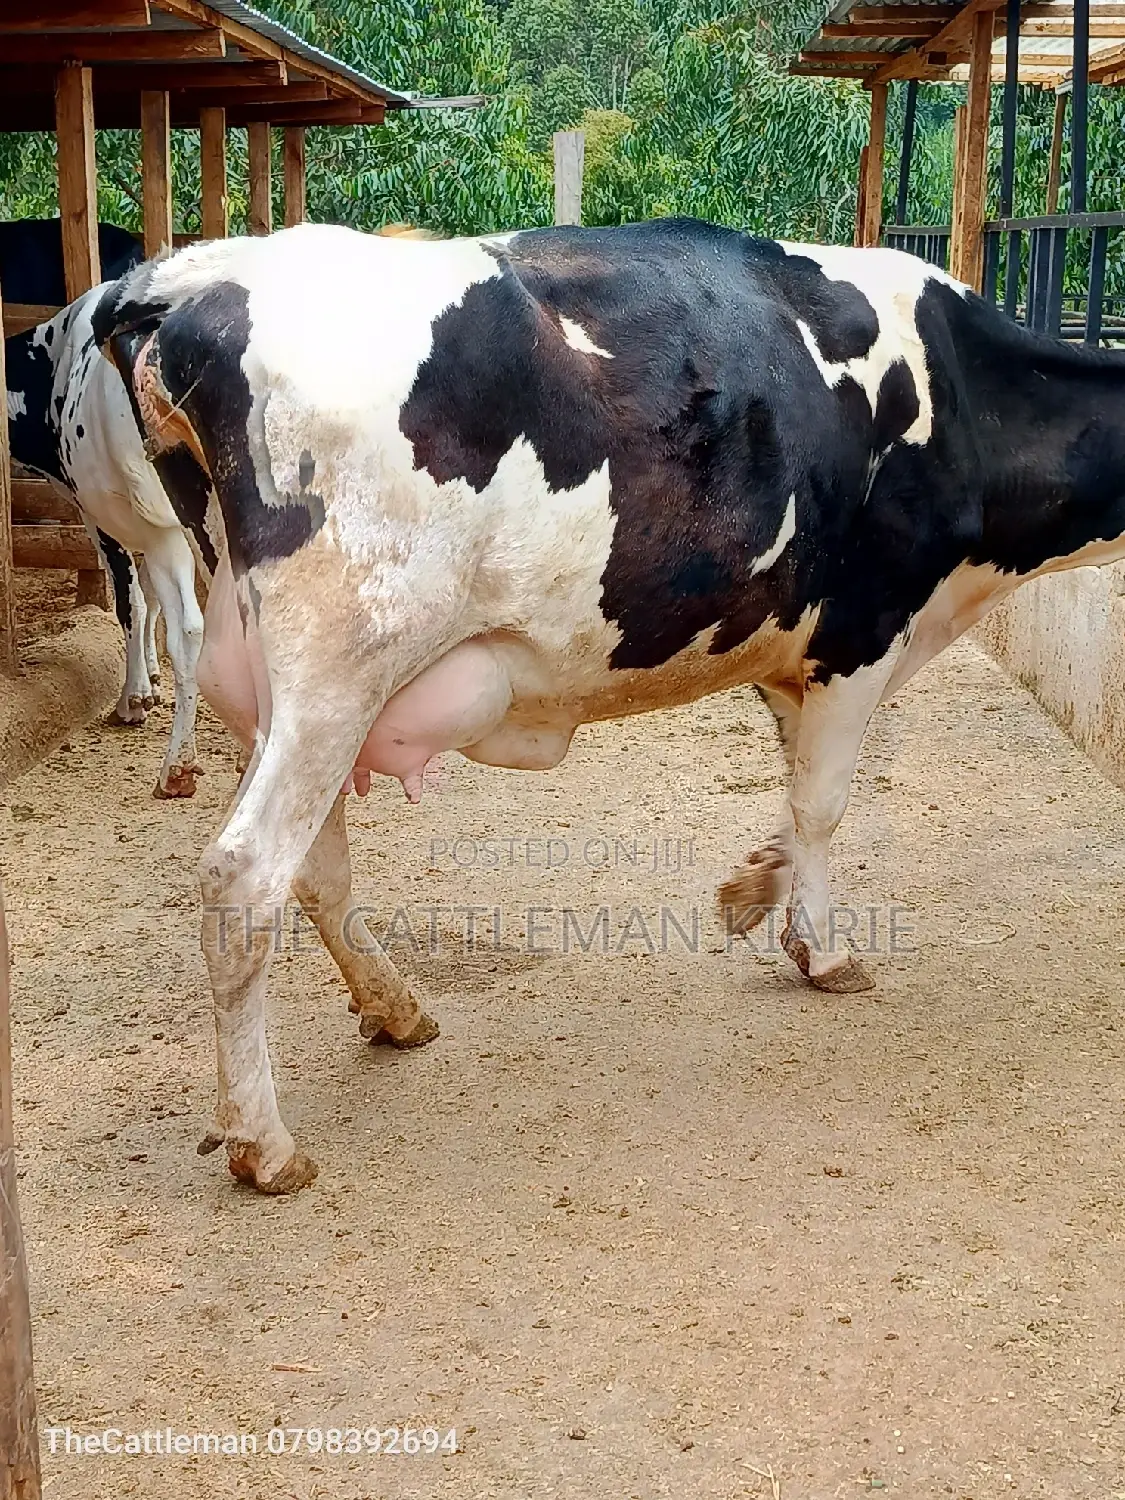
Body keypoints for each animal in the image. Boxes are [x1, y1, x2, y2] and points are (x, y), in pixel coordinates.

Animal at [6, 287, 209, 796]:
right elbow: (150, 598)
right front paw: (151, 677)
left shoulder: (108, 519)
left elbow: (131, 601)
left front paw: (134, 696)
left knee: (189, 629)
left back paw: (177, 767)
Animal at [93, 217, 1125, 1193]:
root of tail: (196, 281)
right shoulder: (862, 632)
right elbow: (822, 806)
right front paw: (823, 951)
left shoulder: (791, 653)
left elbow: (793, 801)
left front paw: (754, 892)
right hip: (338, 663)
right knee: (245, 875)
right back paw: (264, 1144)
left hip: (274, 687)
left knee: (316, 869)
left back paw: (395, 1011)